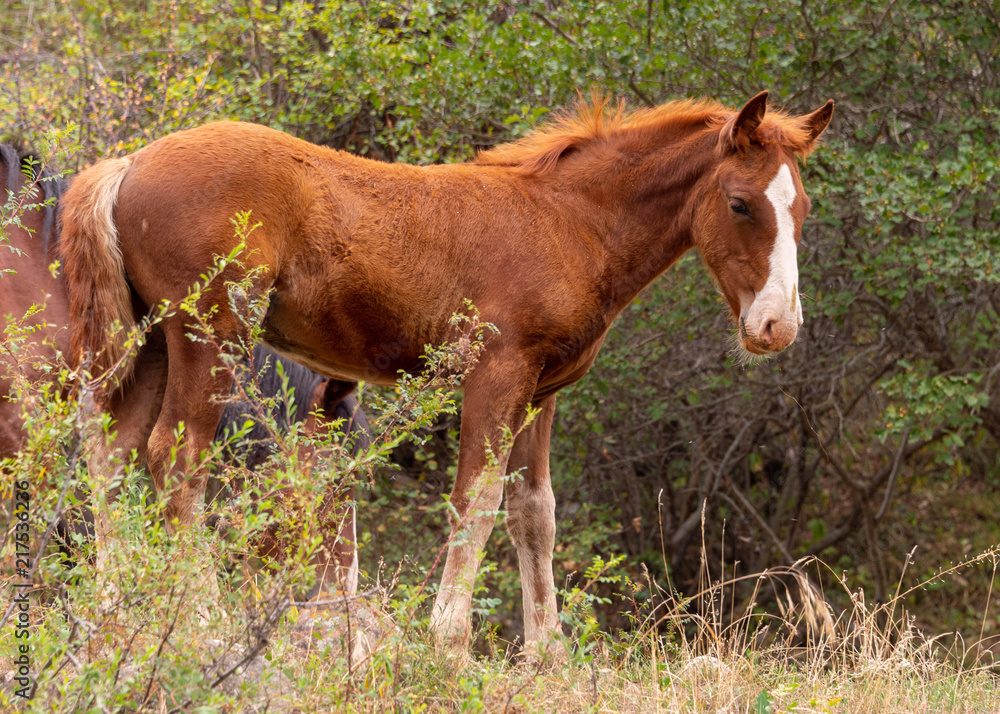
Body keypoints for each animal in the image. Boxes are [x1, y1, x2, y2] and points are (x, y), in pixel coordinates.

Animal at [58, 91, 833, 651]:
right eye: (739, 203)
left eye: (802, 208)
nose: (777, 326)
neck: (569, 223)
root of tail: (126, 165)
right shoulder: (496, 373)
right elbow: (475, 502)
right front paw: (448, 643)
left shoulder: (542, 391)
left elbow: (534, 513)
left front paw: (548, 657)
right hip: (212, 333)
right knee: (175, 457)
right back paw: (203, 623)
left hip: (152, 342)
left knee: (111, 450)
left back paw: (113, 616)